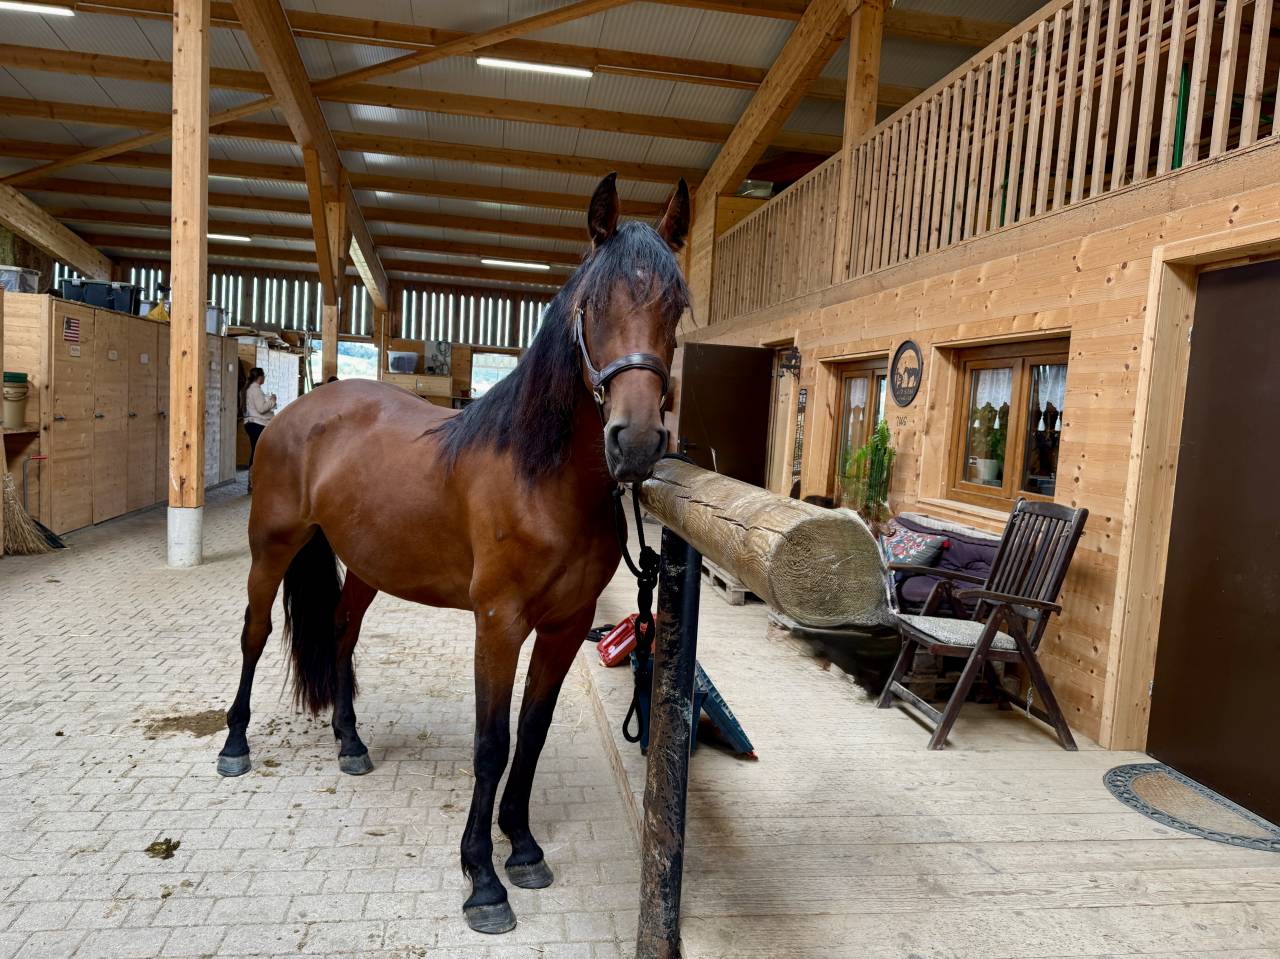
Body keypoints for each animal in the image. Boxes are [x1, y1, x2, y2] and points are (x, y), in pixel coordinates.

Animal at [216, 173, 690, 935]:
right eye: (593, 304)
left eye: (675, 307)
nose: (637, 440)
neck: (542, 477)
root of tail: (301, 411)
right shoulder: (497, 623)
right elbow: (490, 742)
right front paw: (483, 880)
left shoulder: (564, 627)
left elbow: (531, 732)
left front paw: (522, 845)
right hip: (272, 547)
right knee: (255, 633)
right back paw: (235, 745)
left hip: (368, 566)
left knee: (340, 632)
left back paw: (350, 743)